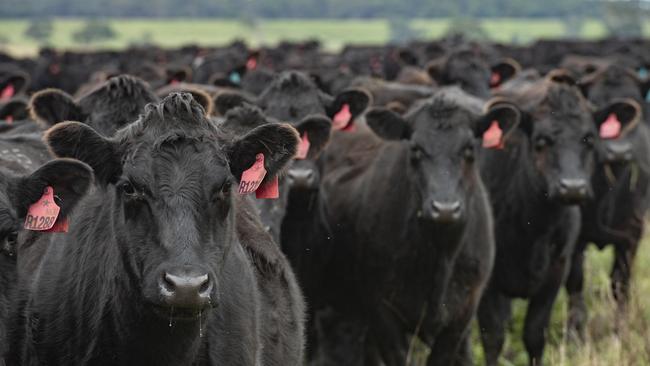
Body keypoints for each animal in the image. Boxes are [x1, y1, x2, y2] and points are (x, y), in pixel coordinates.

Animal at [476, 72, 596, 366]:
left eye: (588, 139)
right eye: (541, 141)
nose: (573, 187)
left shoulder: (556, 270)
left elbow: (534, 335)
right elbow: (492, 336)